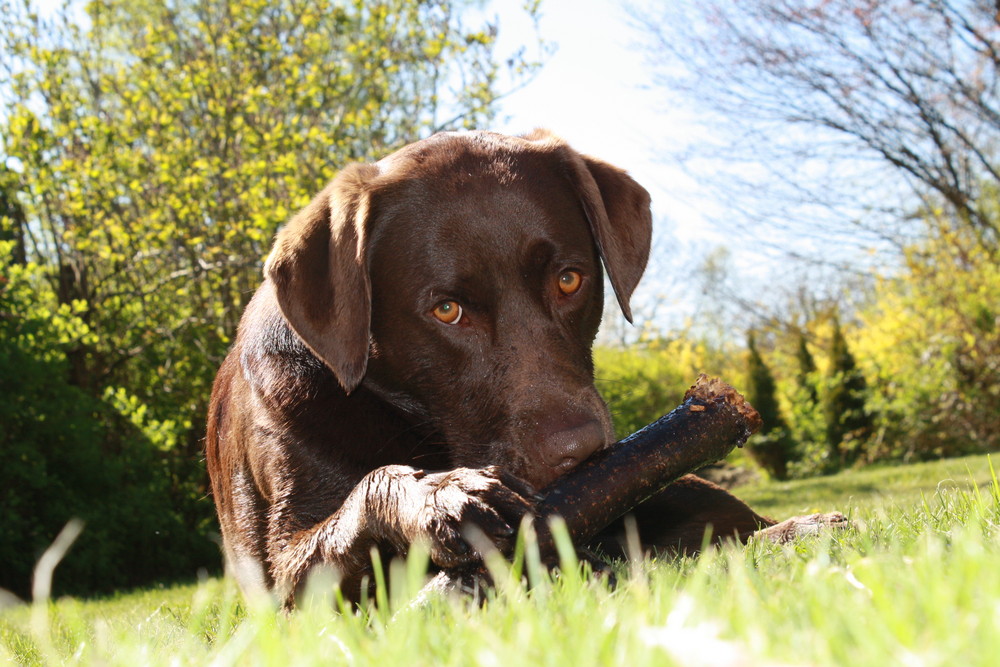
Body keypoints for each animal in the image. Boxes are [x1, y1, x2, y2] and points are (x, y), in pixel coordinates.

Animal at [207, 129, 848, 604]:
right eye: (447, 310)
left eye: (569, 279)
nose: (577, 451)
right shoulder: (286, 579)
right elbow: (365, 497)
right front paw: (441, 497)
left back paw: (801, 529)